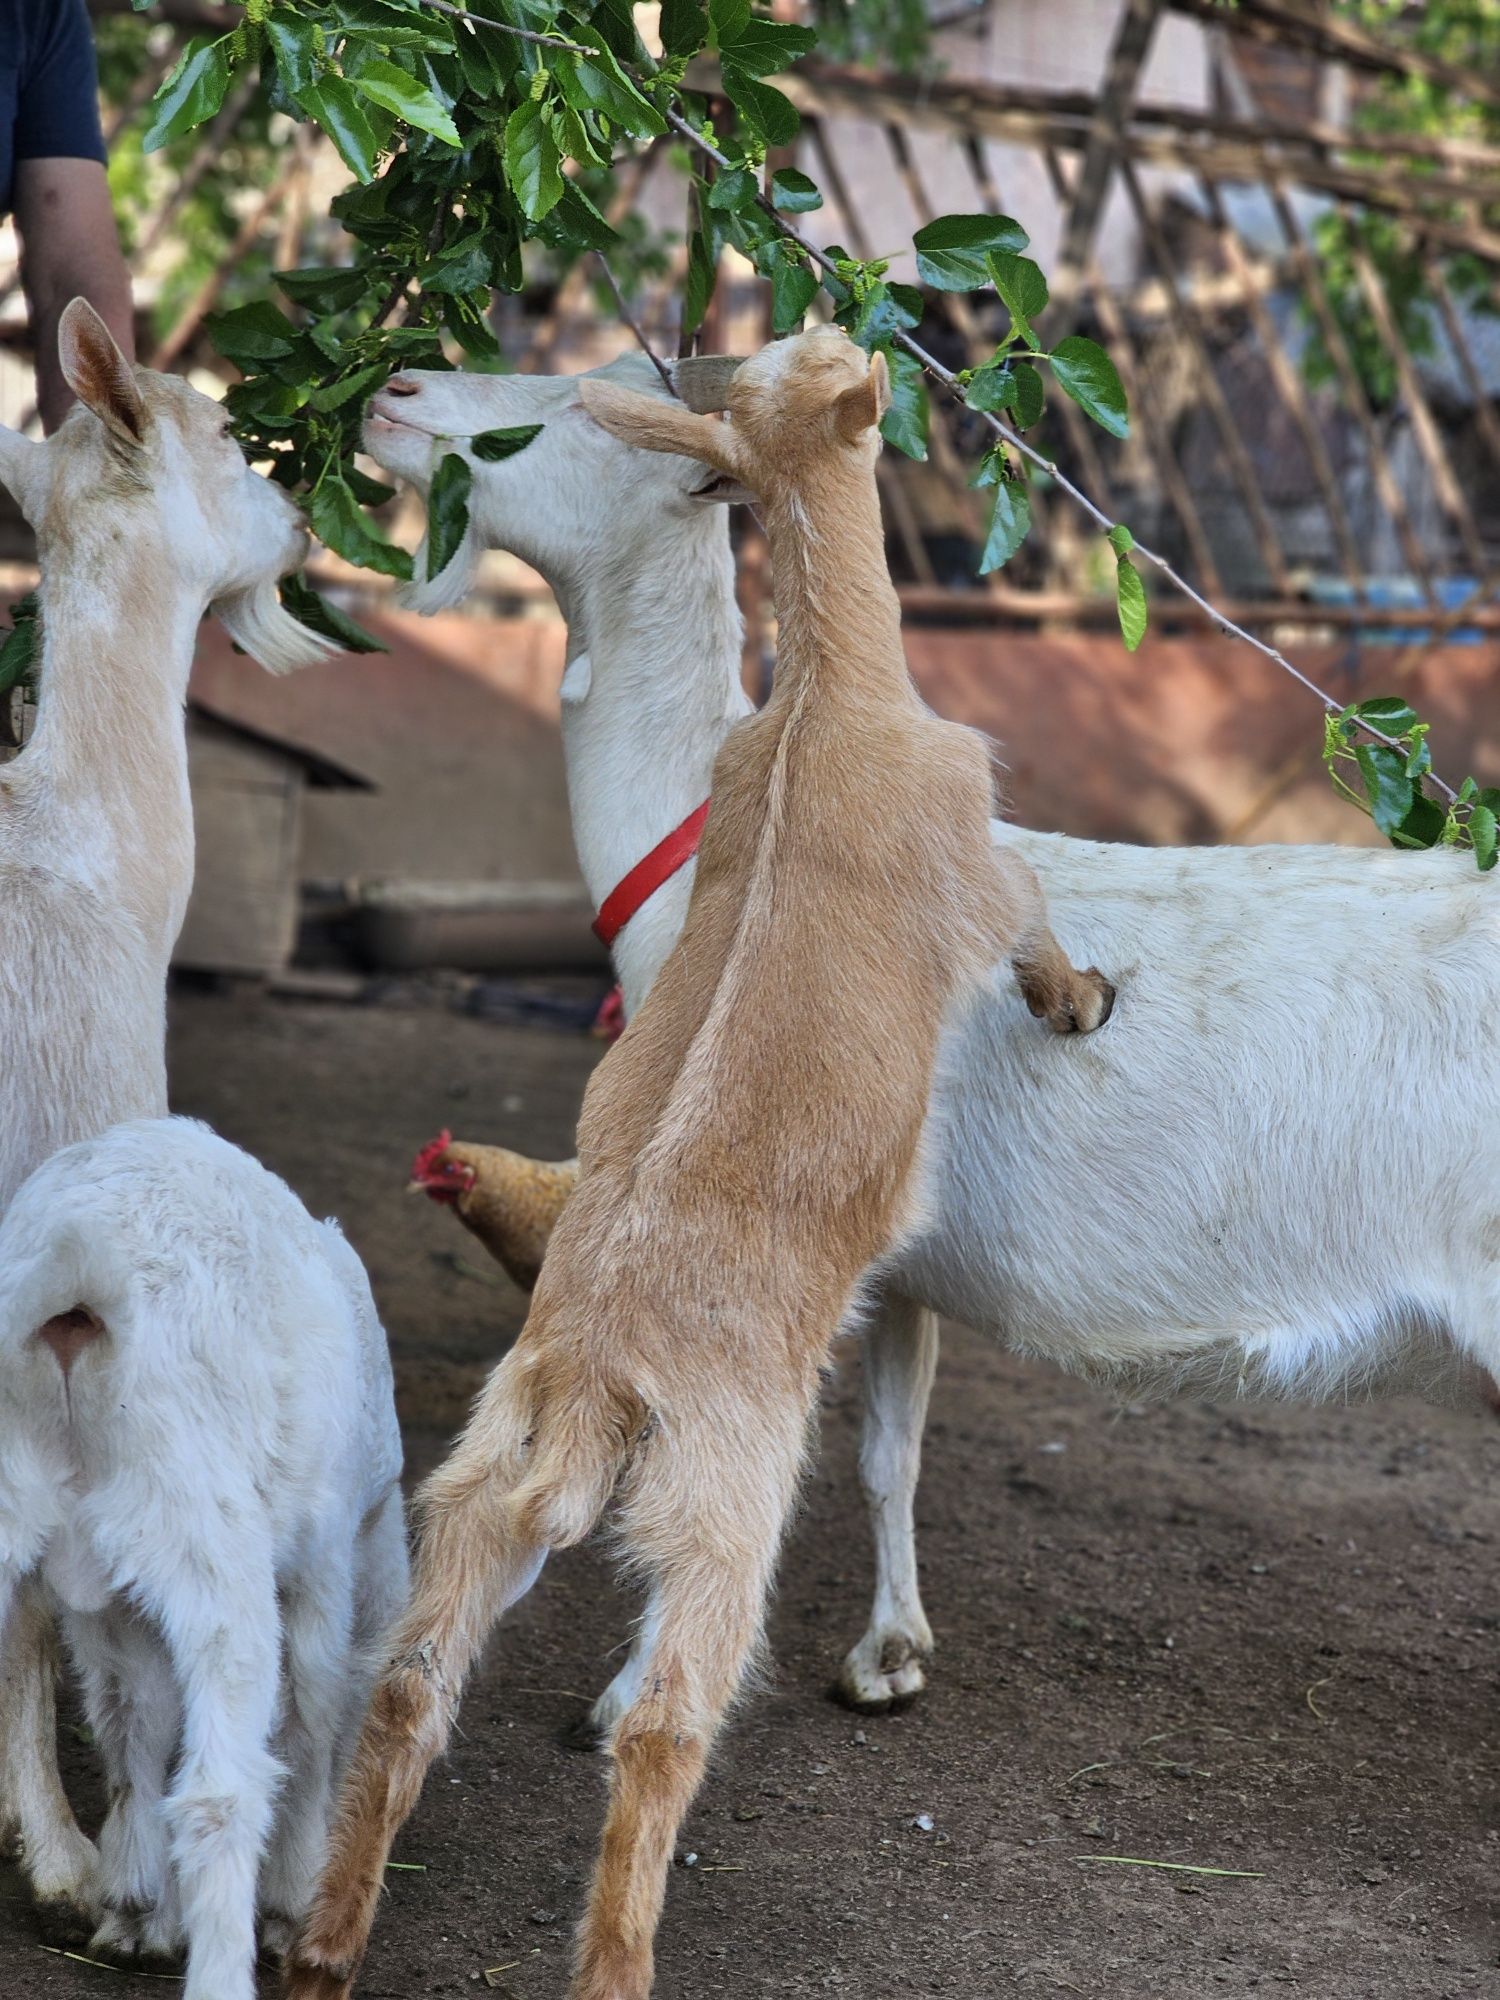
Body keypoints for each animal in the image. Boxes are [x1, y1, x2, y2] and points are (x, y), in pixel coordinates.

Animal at [0, 1112, 406, 2000]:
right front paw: (292, 1899)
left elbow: (134, 1729)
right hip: (208, 1538)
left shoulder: (115, 1601)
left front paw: (138, 1909)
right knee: (222, 1791)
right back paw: (223, 1969)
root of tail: (74, 1275)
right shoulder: (320, 1570)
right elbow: (309, 1721)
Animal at [284, 328, 1120, 2000]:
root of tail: (596, 1374)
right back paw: (616, 1957)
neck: (822, 701)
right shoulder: (984, 871)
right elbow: (1034, 931)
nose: (396, 396)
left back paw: (328, 1945)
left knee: (408, 1681)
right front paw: (1085, 997)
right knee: (671, 1721)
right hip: (724, 1498)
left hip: (482, 1483)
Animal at [364, 356, 1500, 1720]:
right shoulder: (895, 1256)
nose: (394, 388)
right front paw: (891, 1651)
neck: (722, 842)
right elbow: (888, 1451)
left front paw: (632, 1689)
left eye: (578, 406)